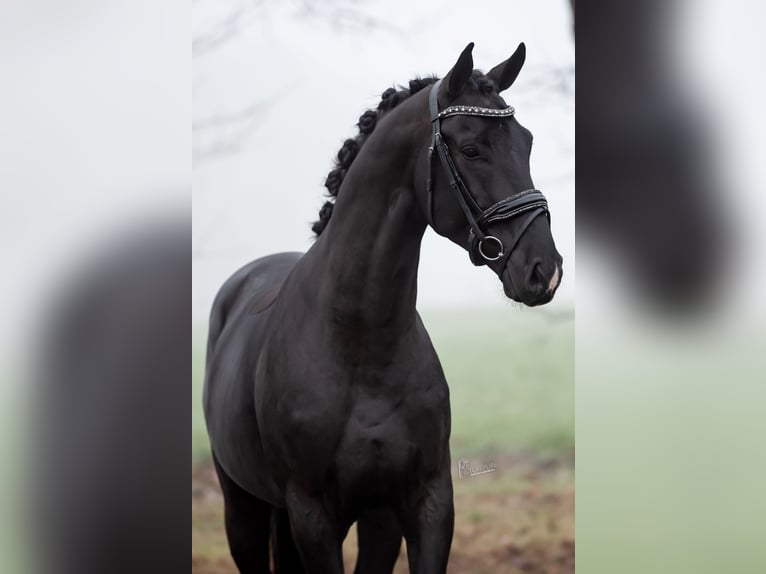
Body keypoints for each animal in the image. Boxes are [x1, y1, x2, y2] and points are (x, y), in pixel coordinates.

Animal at [203, 42, 563, 573]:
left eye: (528, 142)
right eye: (471, 149)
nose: (545, 269)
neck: (361, 345)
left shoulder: (418, 506)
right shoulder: (313, 517)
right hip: (243, 509)